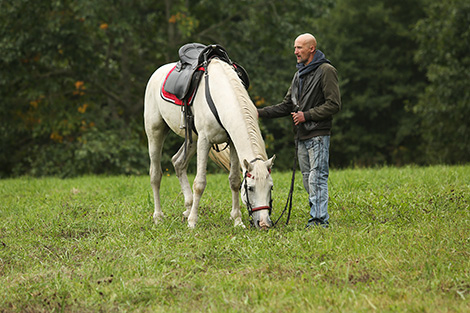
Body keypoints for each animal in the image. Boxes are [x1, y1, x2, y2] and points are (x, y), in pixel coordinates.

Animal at [144, 57, 276, 228]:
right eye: (251, 188)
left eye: (271, 187)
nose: (264, 223)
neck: (220, 94)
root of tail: (157, 73)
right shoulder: (204, 141)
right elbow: (199, 183)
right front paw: (193, 222)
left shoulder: (232, 143)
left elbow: (234, 181)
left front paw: (237, 220)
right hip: (156, 131)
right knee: (155, 175)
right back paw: (159, 217)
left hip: (192, 139)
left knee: (178, 163)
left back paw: (188, 208)